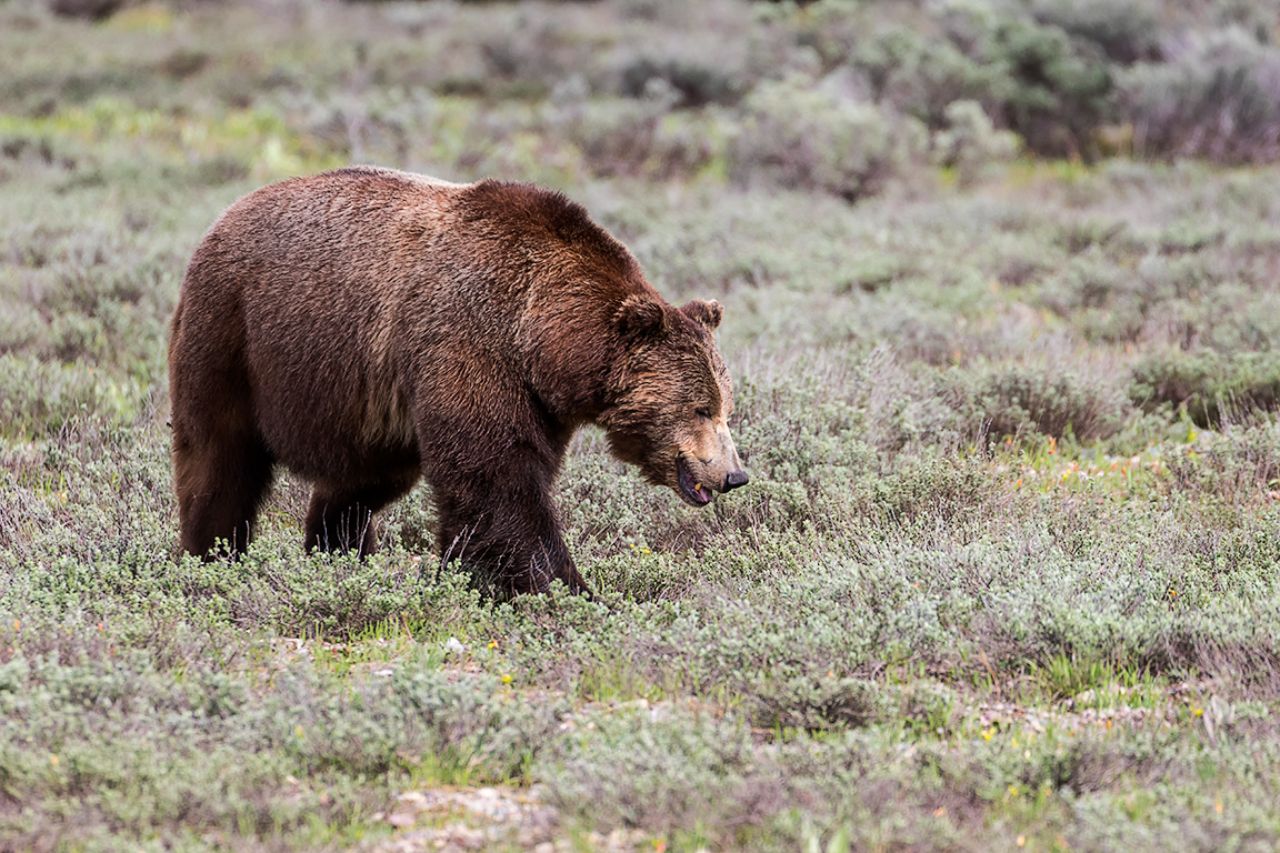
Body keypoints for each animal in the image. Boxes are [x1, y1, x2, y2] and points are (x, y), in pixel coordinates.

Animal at [168, 166, 748, 595]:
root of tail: (224, 216)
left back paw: (340, 553)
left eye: (725, 406)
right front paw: (561, 587)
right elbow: (497, 479)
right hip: (234, 334)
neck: (544, 339)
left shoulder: (538, 401)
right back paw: (211, 554)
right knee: (220, 457)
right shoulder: (472, 346)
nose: (733, 475)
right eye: (699, 407)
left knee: (362, 482)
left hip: (366, 405)